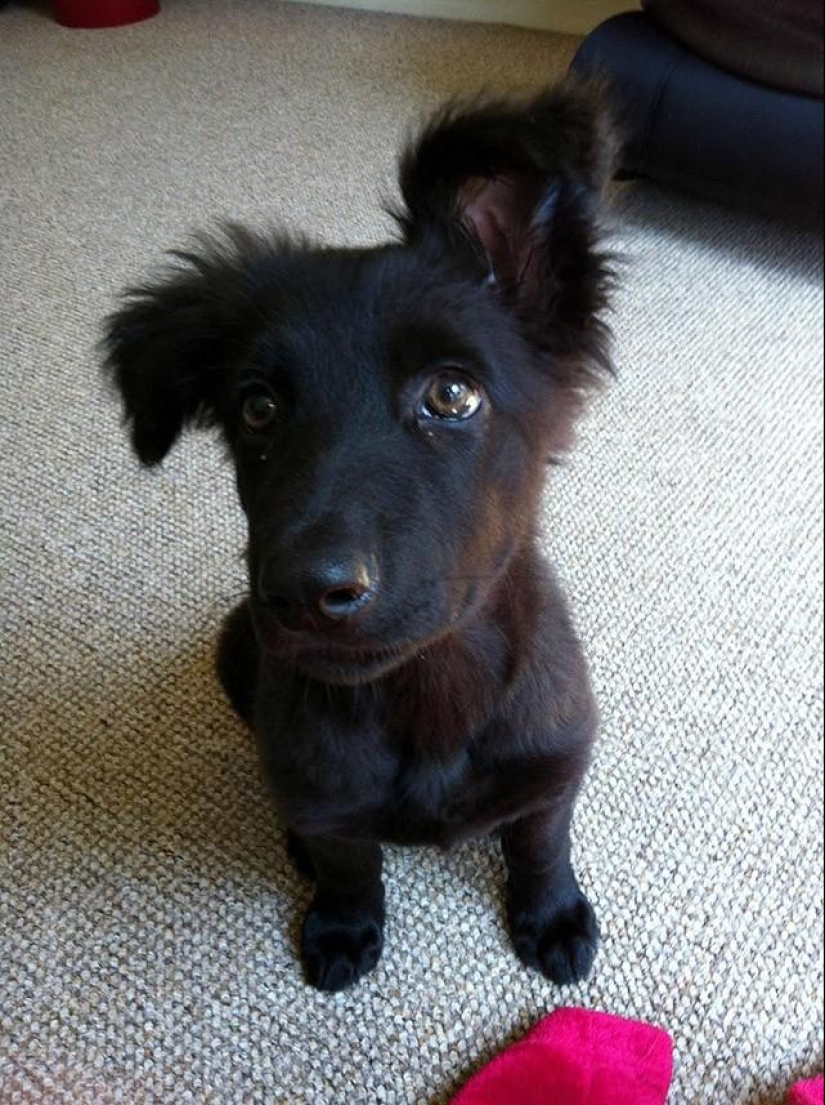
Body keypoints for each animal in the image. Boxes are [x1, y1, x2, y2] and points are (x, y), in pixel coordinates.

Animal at [103, 77, 618, 994]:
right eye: (257, 409)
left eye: (451, 393)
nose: (305, 591)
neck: (429, 692)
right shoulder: (323, 794)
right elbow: (350, 864)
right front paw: (342, 923)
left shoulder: (554, 768)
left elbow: (540, 844)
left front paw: (552, 913)